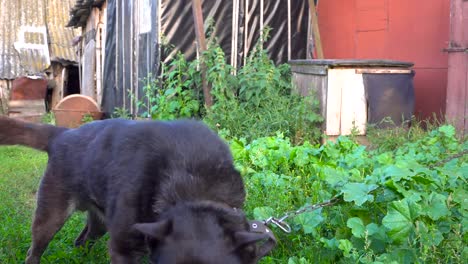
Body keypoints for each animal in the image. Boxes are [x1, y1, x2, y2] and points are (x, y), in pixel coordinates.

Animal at [0, 116, 274, 262]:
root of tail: (62, 134)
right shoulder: (123, 249)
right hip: (50, 217)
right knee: (34, 251)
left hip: (100, 223)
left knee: (82, 240)